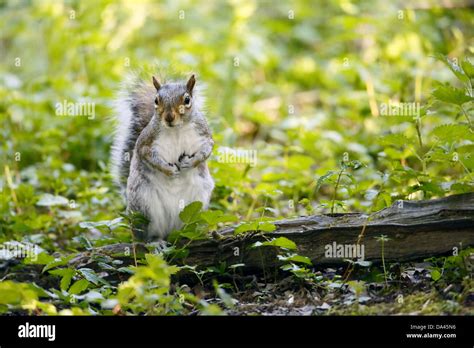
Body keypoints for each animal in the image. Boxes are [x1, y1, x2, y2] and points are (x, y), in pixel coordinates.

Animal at [110, 74, 214, 241]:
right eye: (156, 100)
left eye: (187, 100)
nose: (169, 117)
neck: (177, 129)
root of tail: (169, 230)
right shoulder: (146, 142)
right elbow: (148, 156)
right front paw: (169, 170)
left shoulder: (204, 135)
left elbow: (206, 150)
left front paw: (190, 162)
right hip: (143, 204)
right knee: (144, 236)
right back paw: (154, 242)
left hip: (198, 202)